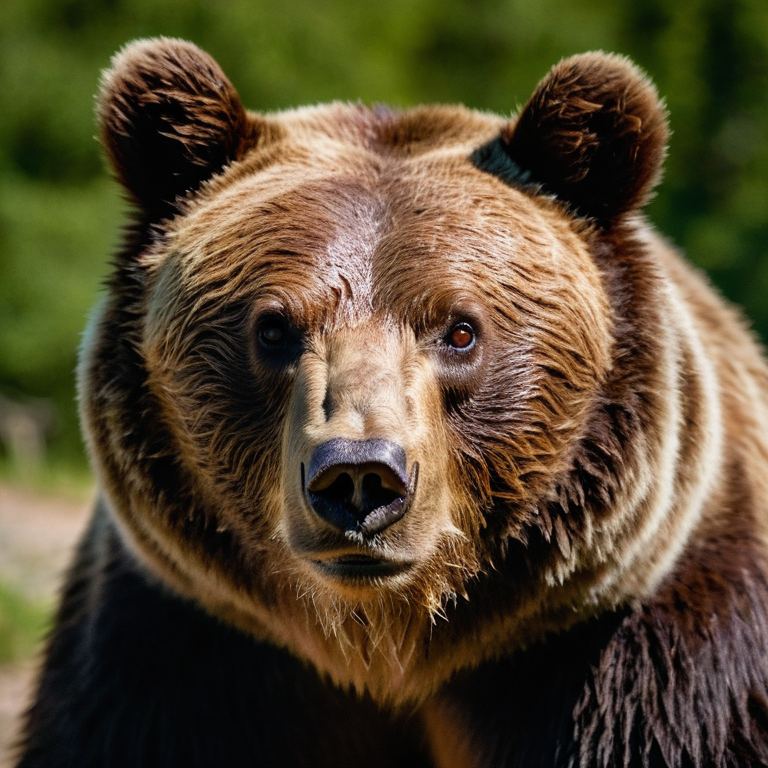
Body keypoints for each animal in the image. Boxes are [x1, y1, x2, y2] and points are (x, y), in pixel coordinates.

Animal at [15, 37, 768, 768]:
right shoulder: (175, 653)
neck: (385, 647)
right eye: (273, 327)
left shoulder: (639, 658)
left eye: (460, 330)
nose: (358, 476)